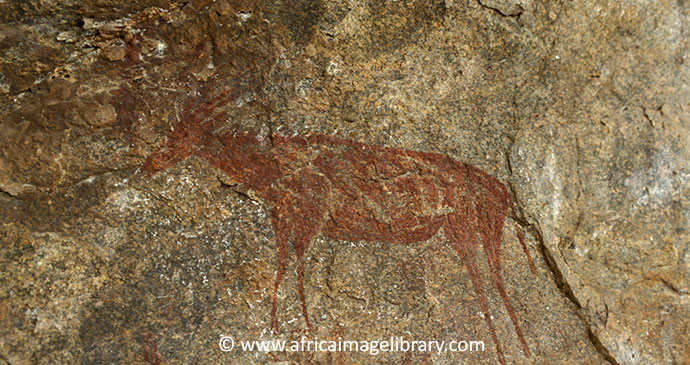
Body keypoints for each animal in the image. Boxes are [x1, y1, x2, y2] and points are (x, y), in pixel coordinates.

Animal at [140, 88, 536, 364]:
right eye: (167, 133)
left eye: (180, 135)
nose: (148, 165)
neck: (270, 164)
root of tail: (500, 186)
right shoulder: (282, 219)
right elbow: (281, 268)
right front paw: (276, 327)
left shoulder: (310, 215)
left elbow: (298, 266)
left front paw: (306, 330)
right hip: (459, 231)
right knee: (487, 283)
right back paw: (513, 348)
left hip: (473, 226)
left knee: (494, 282)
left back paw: (517, 348)